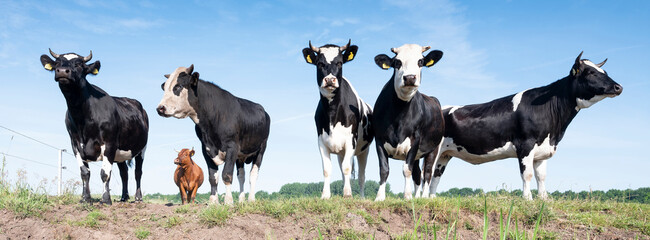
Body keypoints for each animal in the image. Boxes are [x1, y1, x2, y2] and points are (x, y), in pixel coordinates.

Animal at [39, 48, 148, 204]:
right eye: (57, 63)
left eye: (79, 64)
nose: (63, 71)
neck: (82, 119)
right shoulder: (75, 144)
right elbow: (85, 173)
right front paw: (85, 198)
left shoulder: (109, 143)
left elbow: (105, 173)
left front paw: (106, 199)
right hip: (120, 152)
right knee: (124, 173)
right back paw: (123, 197)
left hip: (142, 148)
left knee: (138, 172)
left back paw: (138, 198)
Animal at [156, 65, 270, 204]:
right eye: (164, 87)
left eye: (178, 86)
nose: (160, 108)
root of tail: (263, 111)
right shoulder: (206, 148)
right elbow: (212, 176)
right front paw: (213, 201)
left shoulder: (232, 147)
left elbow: (226, 175)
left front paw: (228, 201)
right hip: (241, 156)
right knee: (241, 176)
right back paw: (242, 200)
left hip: (261, 148)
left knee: (253, 175)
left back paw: (251, 199)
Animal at [302, 39, 372, 199]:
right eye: (319, 64)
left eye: (340, 63)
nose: (330, 80)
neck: (332, 113)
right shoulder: (321, 141)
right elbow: (327, 169)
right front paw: (325, 195)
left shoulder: (351, 141)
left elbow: (347, 168)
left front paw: (347, 194)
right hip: (341, 152)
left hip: (364, 150)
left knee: (361, 176)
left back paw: (362, 197)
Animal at [370, 43, 446, 201]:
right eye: (397, 62)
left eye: (420, 61)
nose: (410, 77)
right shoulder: (378, 139)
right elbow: (384, 169)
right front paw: (380, 197)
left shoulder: (415, 140)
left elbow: (407, 169)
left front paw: (408, 196)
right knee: (418, 173)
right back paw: (417, 196)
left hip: (434, 148)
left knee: (427, 172)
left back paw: (424, 196)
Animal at [428, 51, 620, 200]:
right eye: (590, 73)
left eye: (604, 71)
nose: (618, 87)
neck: (555, 131)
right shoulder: (525, 144)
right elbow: (527, 174)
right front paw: (528, 199)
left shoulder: (542, 149)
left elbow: (541, 176)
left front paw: (544, 199)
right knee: (427, 174)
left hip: (445, 154)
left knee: (435, 177)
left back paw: (432, 199)